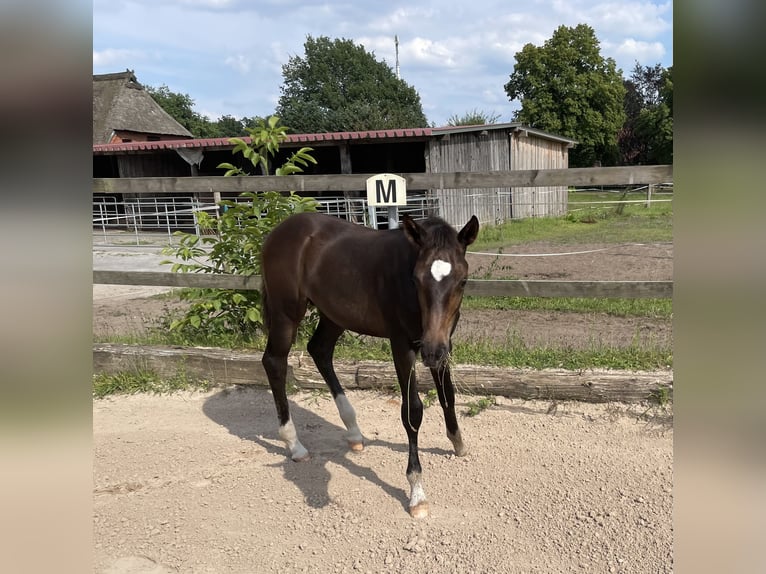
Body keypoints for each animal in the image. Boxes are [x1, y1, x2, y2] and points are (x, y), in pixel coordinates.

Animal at [262, 214, 480, 520]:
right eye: (416, 279)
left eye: (462, 280)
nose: (430, 352)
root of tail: (279, 231)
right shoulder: (403, 345)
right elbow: (412, 411)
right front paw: (417, 493)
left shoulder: (442, 341)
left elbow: (447, 394)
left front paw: (458, 443)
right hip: (286, 313)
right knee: (274, 362)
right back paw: (294, 444)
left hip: (334, 314)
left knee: (319, 350)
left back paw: (353, 432)